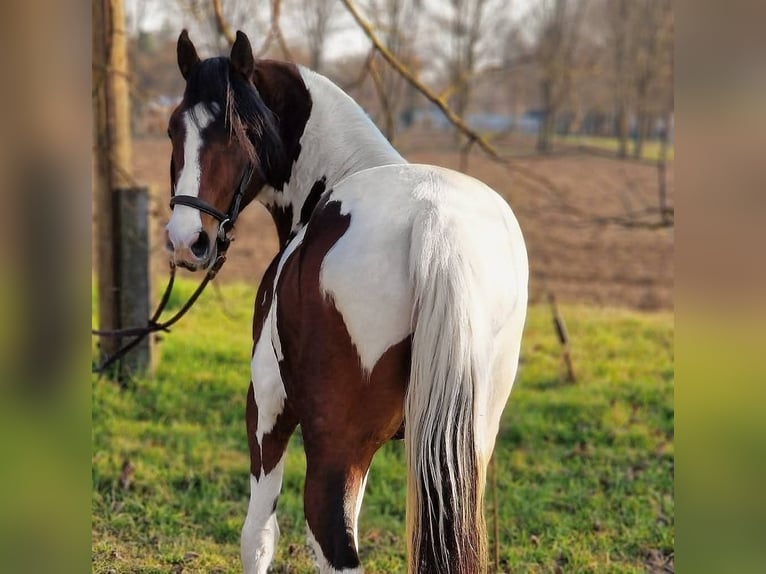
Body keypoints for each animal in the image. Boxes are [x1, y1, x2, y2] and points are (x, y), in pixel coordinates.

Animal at [165, 29, 528, 574]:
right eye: (173, 131)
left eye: (240, 132)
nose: (188, 241)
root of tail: (435, 221)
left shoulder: (268, 406)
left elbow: (259, 535)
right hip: (464, 448)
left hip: (333, 448)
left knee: (330, 536)